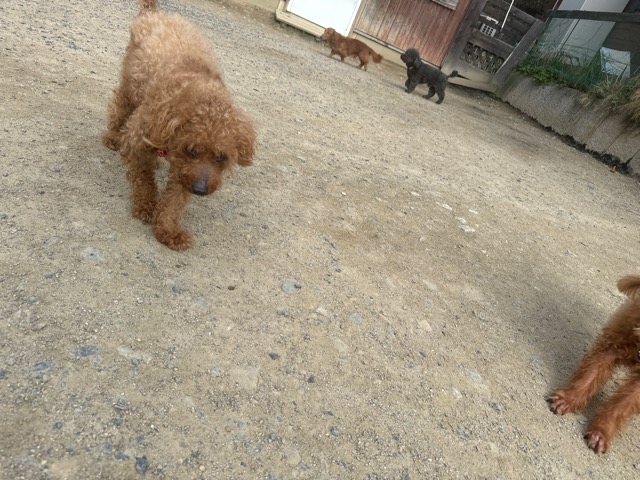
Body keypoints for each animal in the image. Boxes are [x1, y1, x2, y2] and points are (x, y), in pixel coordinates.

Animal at [103, 0, 256, 250]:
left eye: (220, 157)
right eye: (191, 150)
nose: (200, 190)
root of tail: (153, 13)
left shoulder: (186, 173)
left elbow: (174, 202)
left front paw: (168, 231)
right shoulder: (138, 142)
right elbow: (143, 179)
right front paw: (145, 206)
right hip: (130, 85)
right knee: (119, 105)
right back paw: (112, 136)